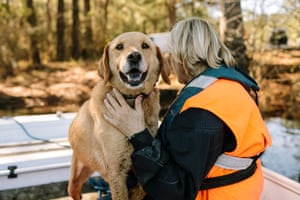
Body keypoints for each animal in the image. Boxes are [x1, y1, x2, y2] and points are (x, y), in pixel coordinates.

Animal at [68, 32, 171, 199]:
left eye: (145, 46)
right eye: (119, 47)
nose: (134, 56)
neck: (131, 98)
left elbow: (143, 186)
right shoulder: (116, 171)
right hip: (75, 180)